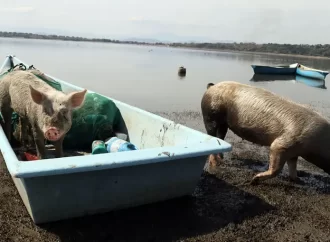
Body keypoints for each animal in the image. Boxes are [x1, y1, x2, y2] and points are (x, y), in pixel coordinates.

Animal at [200, 80, 330, 184]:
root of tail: (212, 87)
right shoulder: (284, 143)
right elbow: (276, 167)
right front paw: (254, 180)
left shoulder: (294, 151)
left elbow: (293, 166)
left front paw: (298, 180)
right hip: (210, 114)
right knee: (211, 135)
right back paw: (216, 163)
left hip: (223, 123)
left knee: (220, 137)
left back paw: (221, 157)